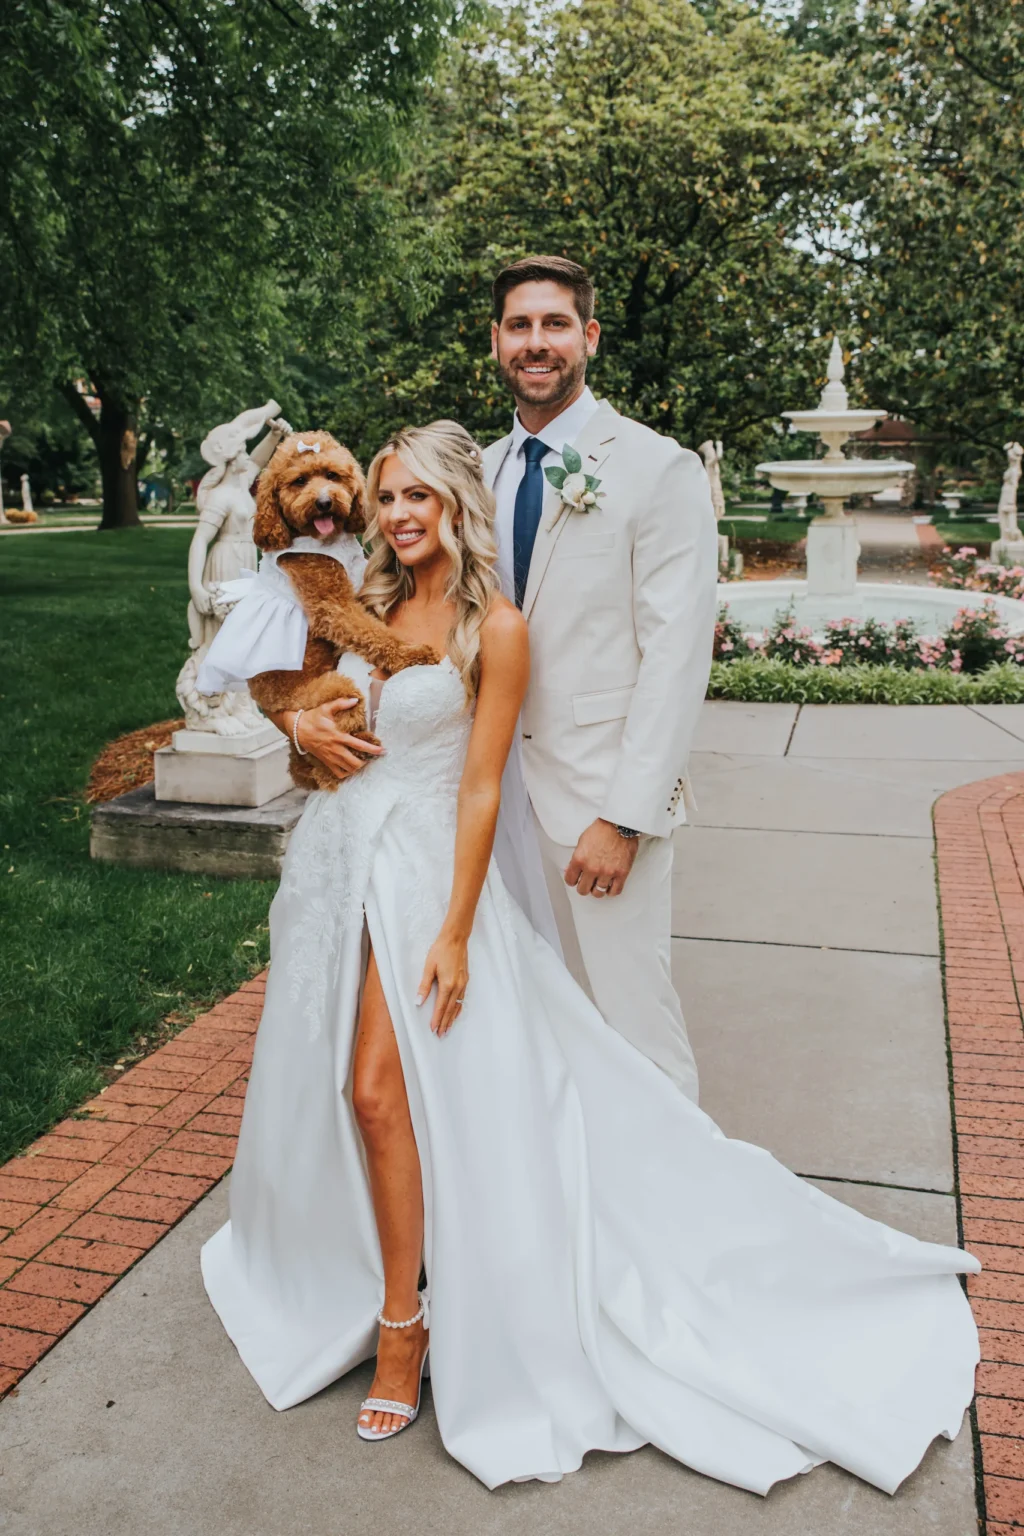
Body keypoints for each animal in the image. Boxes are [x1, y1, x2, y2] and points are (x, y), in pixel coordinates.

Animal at [248, 430, 442, 792]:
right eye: (299, 481)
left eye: (332, 475)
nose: (324, 502)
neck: (325, 541)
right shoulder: (332, 605)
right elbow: (371, 632)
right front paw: (413, 654)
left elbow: (372, 625)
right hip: (323, 694)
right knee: (331, 757)